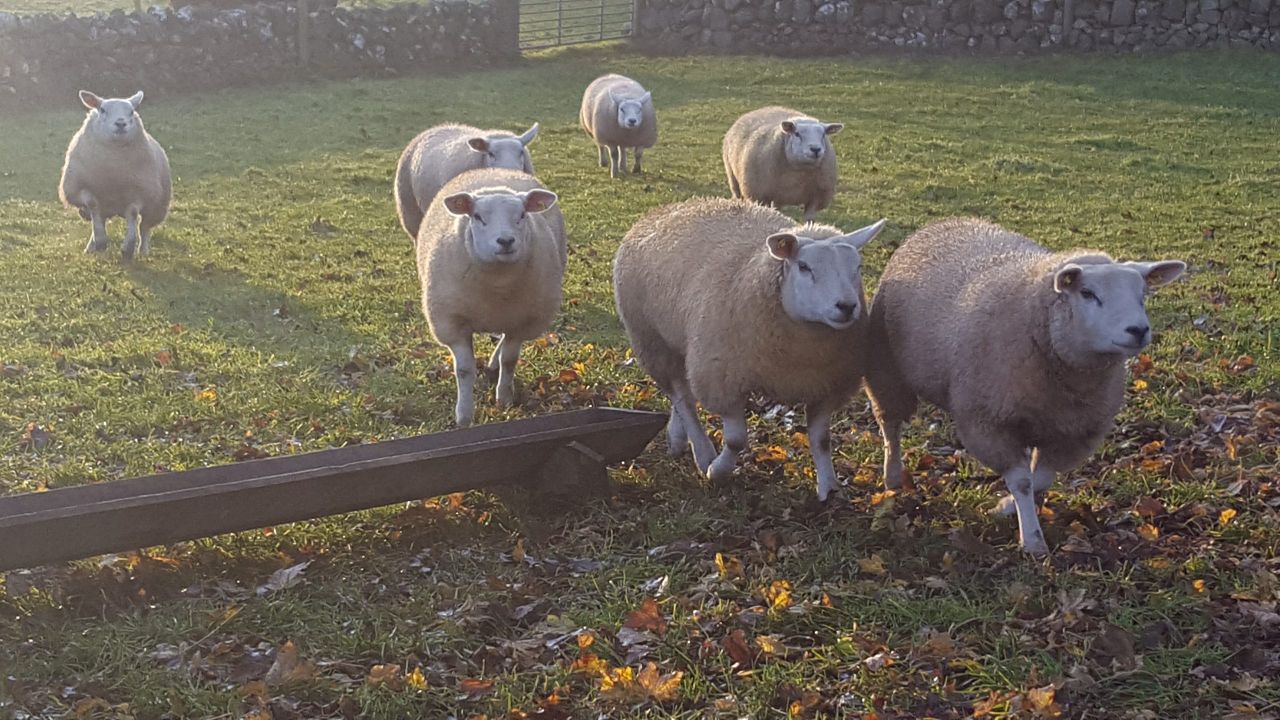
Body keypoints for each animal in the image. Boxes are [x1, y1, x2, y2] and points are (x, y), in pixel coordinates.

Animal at [59, 90, 172, 260]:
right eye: (102, 110)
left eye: (131, 111)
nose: (120, 123)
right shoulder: (79, 190)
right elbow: (93, 205)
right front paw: (100, 242)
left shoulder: (138, 193)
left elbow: (133, 214)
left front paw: (127, 248)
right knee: (101, 219)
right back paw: (91, 247)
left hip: (156, 206)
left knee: (144, 227)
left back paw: (143, 251)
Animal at [416, 168, 565, 427]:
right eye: (477, 217)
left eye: (522, 215)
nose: (505, 241)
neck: (497, 284)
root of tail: (498, 171)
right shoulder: (452, 322)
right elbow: (464, 370)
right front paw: (464, 415)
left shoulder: (522, 320)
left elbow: (510, 360)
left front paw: (503, 399)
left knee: (503, 345)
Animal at [613, 197, 886, 500]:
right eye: (804, 266)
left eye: (858, 267)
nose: (847, 306)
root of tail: (674, 207)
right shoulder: (723, 380)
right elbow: (735, 440)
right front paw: (717, 471)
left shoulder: (826, 386)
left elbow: (822, 440)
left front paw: (829, 488)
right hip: (651, 341)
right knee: (682, 398)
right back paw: (702, 452)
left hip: (685, 344)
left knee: (682, 392)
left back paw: (678, 439)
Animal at [864, 218, 1186, 555]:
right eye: (1087, 293)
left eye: (1143, 294)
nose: (1138, 330)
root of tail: (949, 221)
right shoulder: (989, 423)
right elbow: (1021, 481)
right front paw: (1031, 539)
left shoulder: (1073, 433)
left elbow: (1040, 479)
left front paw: (1008, 507)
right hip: (886, 370)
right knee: (890, 427)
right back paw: (892, 476)